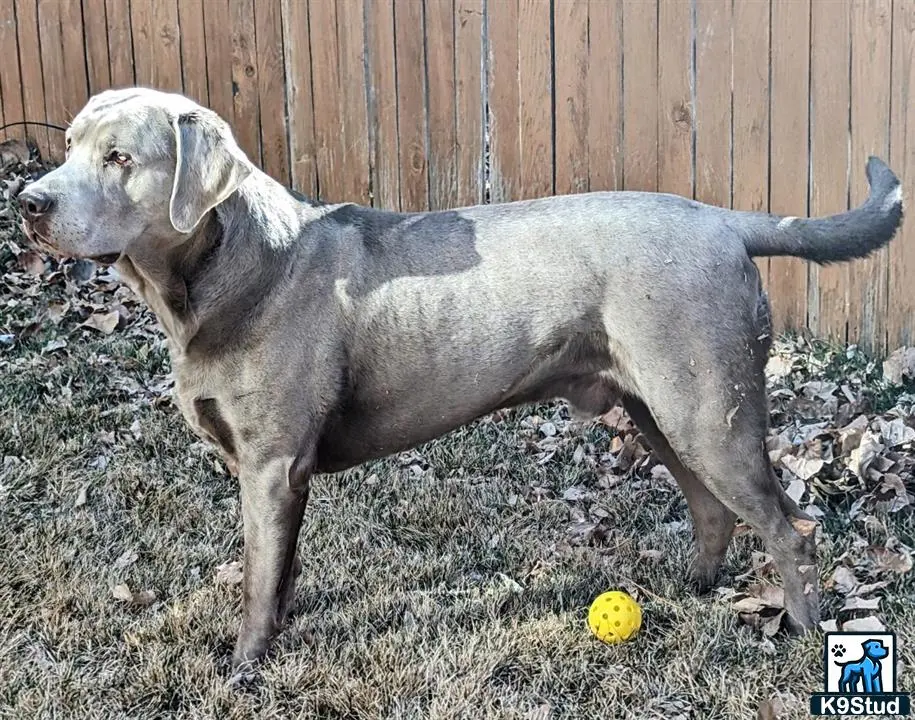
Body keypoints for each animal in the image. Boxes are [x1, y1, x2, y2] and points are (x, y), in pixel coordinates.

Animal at [17, 90, 904, 668]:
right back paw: (691, 590)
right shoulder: (280, 477)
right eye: (68, 145)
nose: (28, 200)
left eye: (120, 158)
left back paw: (803, 632)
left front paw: (243, 668)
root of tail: (723, 220)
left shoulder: (270, 464)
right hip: (661, 407)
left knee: (787, 526)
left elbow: (260, 577)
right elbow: (281, 567)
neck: (218, 274)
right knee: (712, 509)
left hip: (708, 407)